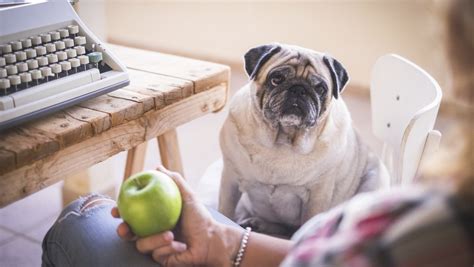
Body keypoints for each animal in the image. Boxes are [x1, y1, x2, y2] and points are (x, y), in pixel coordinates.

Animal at [218, 44, 388, 239]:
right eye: (276, 79)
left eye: (320, 88)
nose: (298, 89)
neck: (282, 141)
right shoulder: (230, 180)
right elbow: (225, 210)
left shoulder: (317, 196)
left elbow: (308, 221)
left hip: (374, 181)